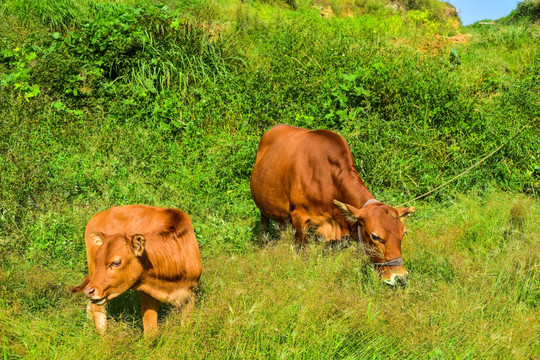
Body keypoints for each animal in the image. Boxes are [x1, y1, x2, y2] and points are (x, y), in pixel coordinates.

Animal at [69, 205, 200, 334]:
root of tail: (98, 216)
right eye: (98, 260)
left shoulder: (191, 293)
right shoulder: (147, 294)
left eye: (116, 262)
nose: (88, 291)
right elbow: (151, 331)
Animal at [251, 125, 416, 286]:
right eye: (375, 236)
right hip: (263, 209)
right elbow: (301, 251)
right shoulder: (299, 218)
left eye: (403, 233)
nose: (400, 277)